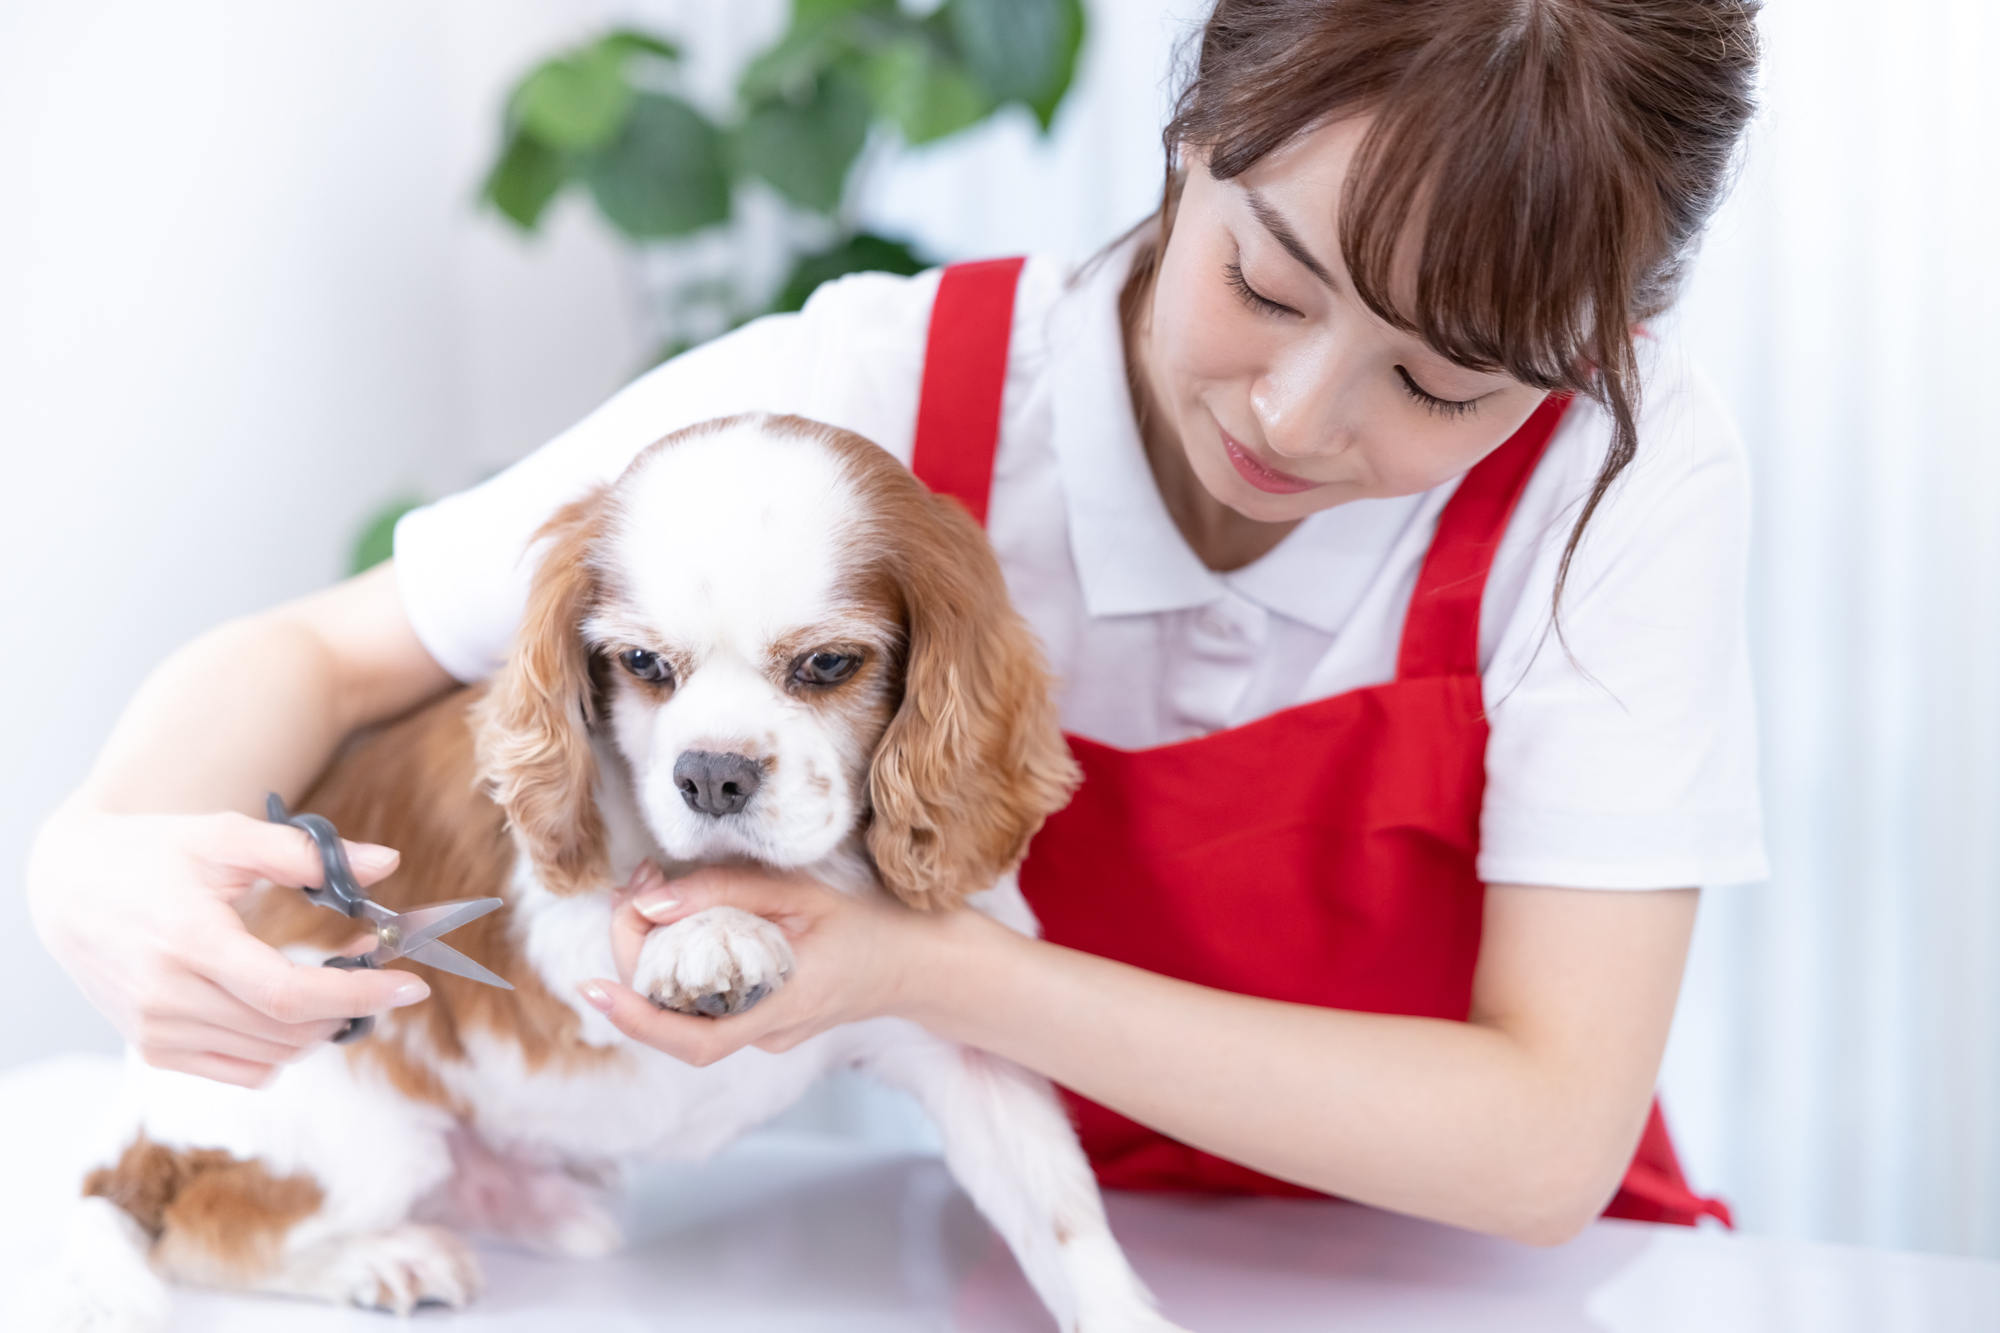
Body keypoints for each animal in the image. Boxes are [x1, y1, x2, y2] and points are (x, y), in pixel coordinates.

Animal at [50, 416, 1184, 1328]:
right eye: (642, 664)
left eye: (827, 665)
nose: (712, 773)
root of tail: (126, 1136)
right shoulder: (536, 929)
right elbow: (616, 907)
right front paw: (710, 931)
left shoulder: (965, 1050)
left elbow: (1063, 1217)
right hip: (342, 1112)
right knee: (201, 1225)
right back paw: (380, 1260)